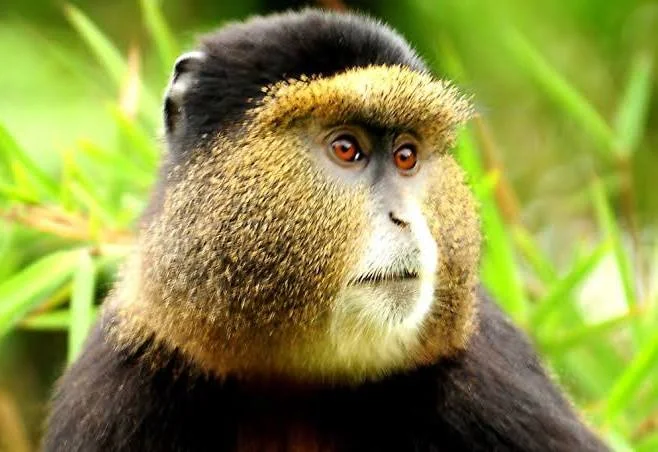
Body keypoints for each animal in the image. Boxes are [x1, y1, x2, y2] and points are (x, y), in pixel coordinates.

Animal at [43, 9, 609, 452]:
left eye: (407, 156)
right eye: (346, 148)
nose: (405, 218)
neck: (298, 380)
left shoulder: (491, 369)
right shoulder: (115, 385)